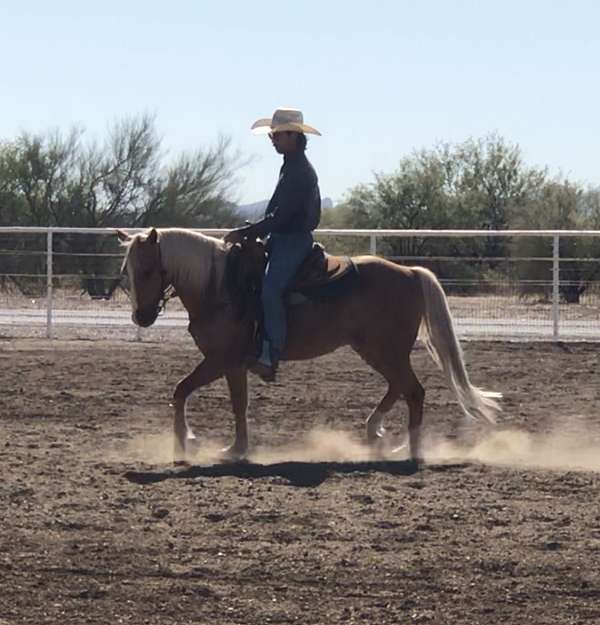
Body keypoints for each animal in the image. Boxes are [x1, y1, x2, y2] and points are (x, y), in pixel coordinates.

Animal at [117, 227, 502, 460]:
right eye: (127, 272)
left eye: (148, 270)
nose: (142, 317)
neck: (220, 285)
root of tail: (411, 273)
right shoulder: (231, 364)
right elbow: (231, 403)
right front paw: (232, 448)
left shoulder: (220, 359)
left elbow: (185, 391)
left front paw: (189, 444)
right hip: (377, 350)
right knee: (400, 387)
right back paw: (377, 433)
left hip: (385, 350)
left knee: (413, 391)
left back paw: (411, 449)